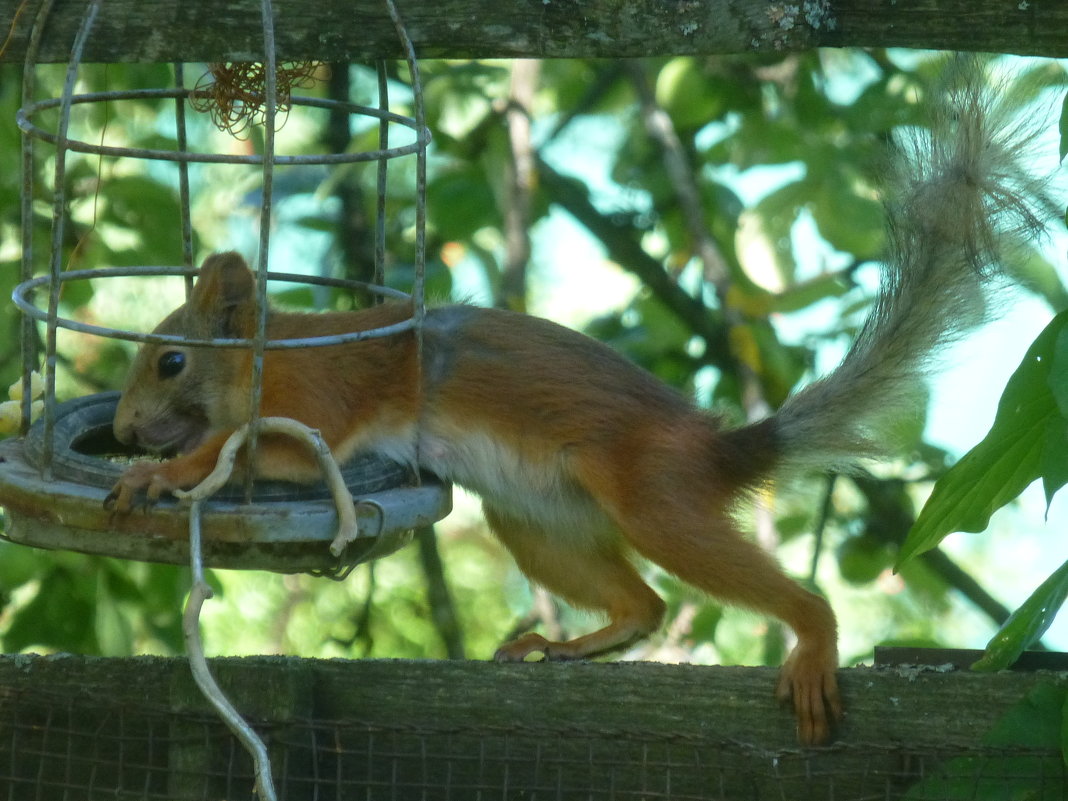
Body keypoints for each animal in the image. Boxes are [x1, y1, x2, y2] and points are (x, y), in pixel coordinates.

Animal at [108, 68, 1050, 747]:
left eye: (170, 360)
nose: (120, 431)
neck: (275, 356)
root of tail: (717, 449)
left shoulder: (324, 407)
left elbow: (253, 448)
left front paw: (166, 471)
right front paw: (153, 469)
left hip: (657, 499)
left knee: (748, 588)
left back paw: (813, 639)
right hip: (536, 517)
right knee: (645, 607)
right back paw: (557, 646)